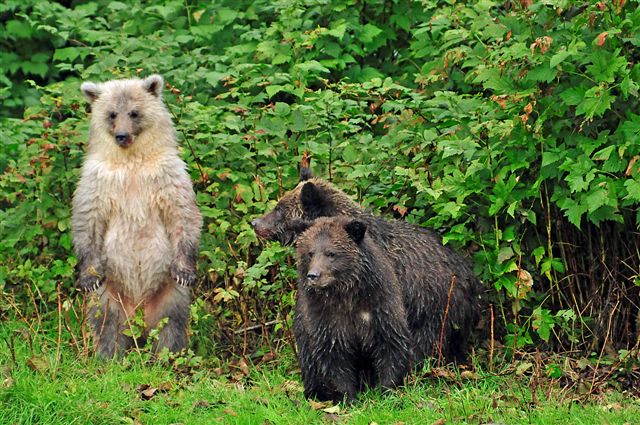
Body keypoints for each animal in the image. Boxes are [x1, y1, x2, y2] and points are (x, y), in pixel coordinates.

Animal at [72, 74, 202, 358]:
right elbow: (87, 219)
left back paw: (166, 356)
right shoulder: (98, 180)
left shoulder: (166, 175)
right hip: (110, 293)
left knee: (172, 324)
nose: (122, 136)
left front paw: (185, 271)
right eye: (112, 113)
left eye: (134, 112)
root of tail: (139, 312)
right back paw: (108, 356)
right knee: (105, 323)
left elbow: (183, 214)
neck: (131, 160)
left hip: (168, 293)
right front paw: (87, 277)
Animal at [294, 216, 413, 402]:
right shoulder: (325, 318)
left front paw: (386, 390)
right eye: (310, 253)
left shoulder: (379, 307)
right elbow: (332, 356)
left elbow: (391, 344)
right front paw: (349, 397)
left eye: (331, 253)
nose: (313, 275)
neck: (346, 296)